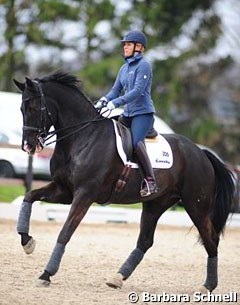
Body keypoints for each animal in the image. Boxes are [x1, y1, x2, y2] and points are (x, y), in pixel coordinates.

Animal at [12, 70, 234, 290]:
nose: (28, 146)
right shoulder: (64, 190)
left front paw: (46, 273)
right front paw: (27, 242)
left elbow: (65, 232)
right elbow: (29, 196)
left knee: (211, 239)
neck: (82, 137)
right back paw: (117, 277)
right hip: (156, 204)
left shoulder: (84, 195)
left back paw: (208, 286)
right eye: (21, 108)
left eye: (33, 107)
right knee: (145, 241)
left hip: (196, 205)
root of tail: (201, 153)